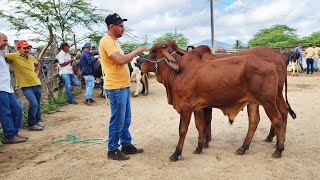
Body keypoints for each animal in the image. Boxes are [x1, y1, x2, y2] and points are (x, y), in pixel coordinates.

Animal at [141, 42, 288, 162]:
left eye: (154, 52)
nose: (140, 65)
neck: (178, 73)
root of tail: (270, 61)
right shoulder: (197, 107)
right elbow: (200, 126)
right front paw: (199, 148)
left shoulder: (186, 107)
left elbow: (182, 130)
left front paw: (176, 153)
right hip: (253, 102)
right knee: (254, 122)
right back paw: (243, 148)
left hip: (268, 101)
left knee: (277, 119)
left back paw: (278, 149)